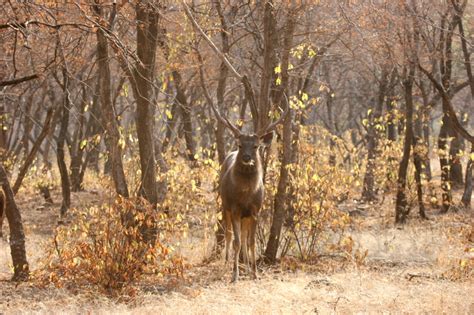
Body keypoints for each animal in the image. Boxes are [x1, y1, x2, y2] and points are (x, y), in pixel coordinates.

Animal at [212, 102, 288, 282]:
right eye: (240, 145)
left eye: (255, 146)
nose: (247, 157)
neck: (246, 195)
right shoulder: (235, 209)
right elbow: (237, 242)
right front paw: (234, 274)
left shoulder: (255, 211)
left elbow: (251, 242)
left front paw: (254, 273)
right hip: (224, 206)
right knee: (229, 235)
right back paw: (227, 264)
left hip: (245, 216)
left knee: (245, 237)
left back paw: (246, 267)